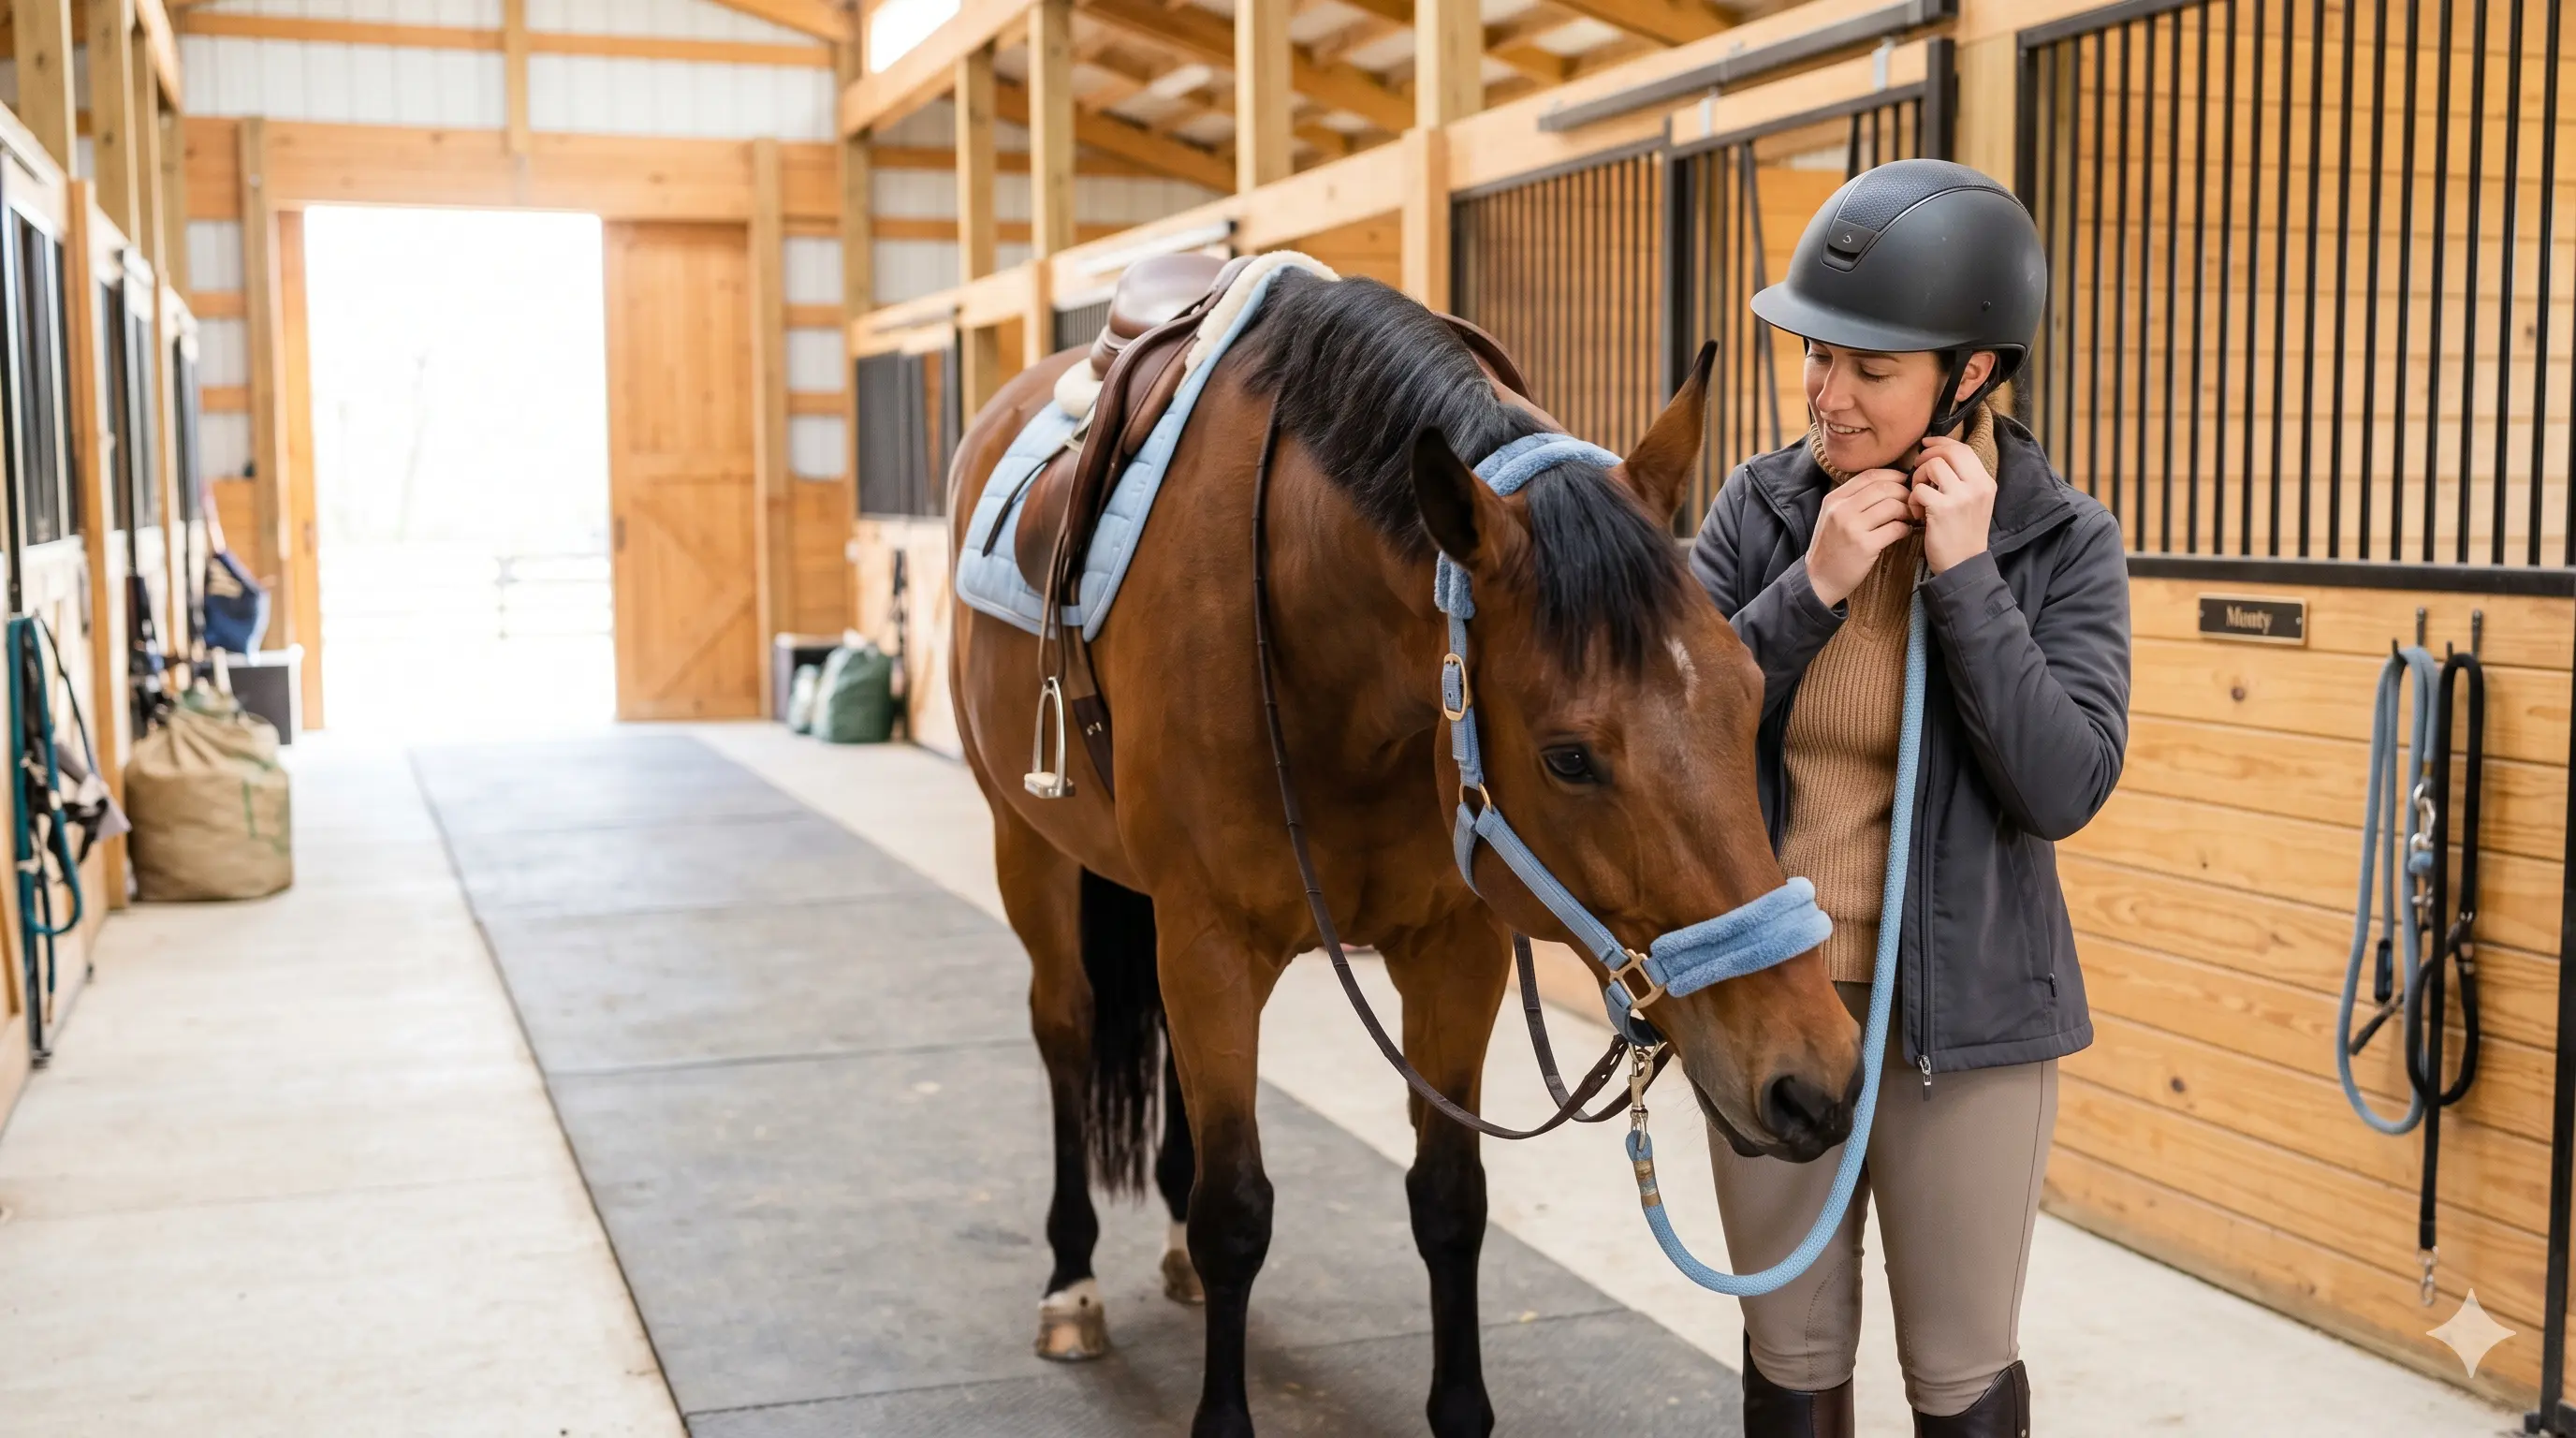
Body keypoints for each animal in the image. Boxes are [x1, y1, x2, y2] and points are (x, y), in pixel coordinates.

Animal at [947, 270, 1862, 1438]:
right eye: (1568, 758)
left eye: (1749, 696)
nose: (1814, 1081)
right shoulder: (1210, 945)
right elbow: (1235, 1211)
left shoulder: (1451, 950)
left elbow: (1449, 1201)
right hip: (1030, 851)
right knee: (1064, 1034)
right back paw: (1071, 1283)